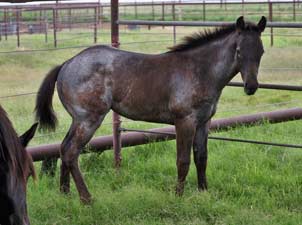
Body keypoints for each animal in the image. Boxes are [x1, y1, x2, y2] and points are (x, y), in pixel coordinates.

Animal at [34, 15, 266, 202]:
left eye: (261, 51)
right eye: (238, 51)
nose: (251, 87)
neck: (199, 70)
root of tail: (66, 64)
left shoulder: (203, 122)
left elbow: (201, 158)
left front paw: (203, 193)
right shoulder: (184, 121)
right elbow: (183, 161)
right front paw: (178, 196)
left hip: (78, 120)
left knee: (63, 148)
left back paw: (65, 194)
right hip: (89, 119)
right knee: (72, 151)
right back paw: (87, 199)